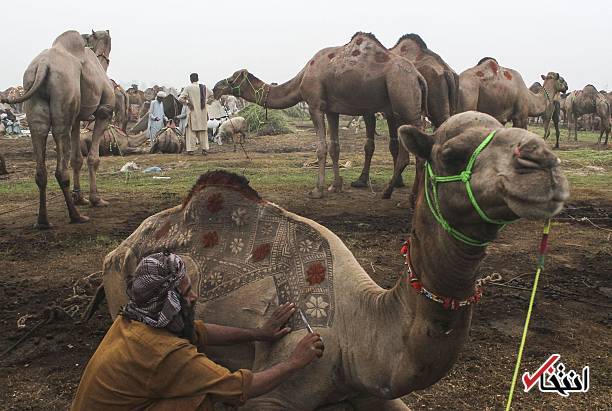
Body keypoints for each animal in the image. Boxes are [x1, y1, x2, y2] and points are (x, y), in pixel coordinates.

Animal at [0, 29, 114, 229]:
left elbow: (77, 159)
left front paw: (80, 198)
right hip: (63, 92)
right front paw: (96, 199)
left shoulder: (77, 118)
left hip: (34, 96)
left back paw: (43, 221)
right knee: (61, 163)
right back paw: (76, 217)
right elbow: (92, 158)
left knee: (40, 152)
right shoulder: (104, 112)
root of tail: (43, 65)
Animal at [101, 111, 568, 410]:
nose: (544, 162)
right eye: (452, 154)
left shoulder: (375, 391)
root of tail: (124, 241)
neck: (360, 327)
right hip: (118, 283)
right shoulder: (274, 394)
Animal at [213, 32, 428, 200]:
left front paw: (317, 190)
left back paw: (397, 194)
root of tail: (418, 77)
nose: (216, 88)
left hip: (404, 102)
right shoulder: (332, 109)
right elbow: (335, 147)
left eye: (232, 79)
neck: (303, 77)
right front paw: (336, 186)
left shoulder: (314, 105)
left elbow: (321, 148)